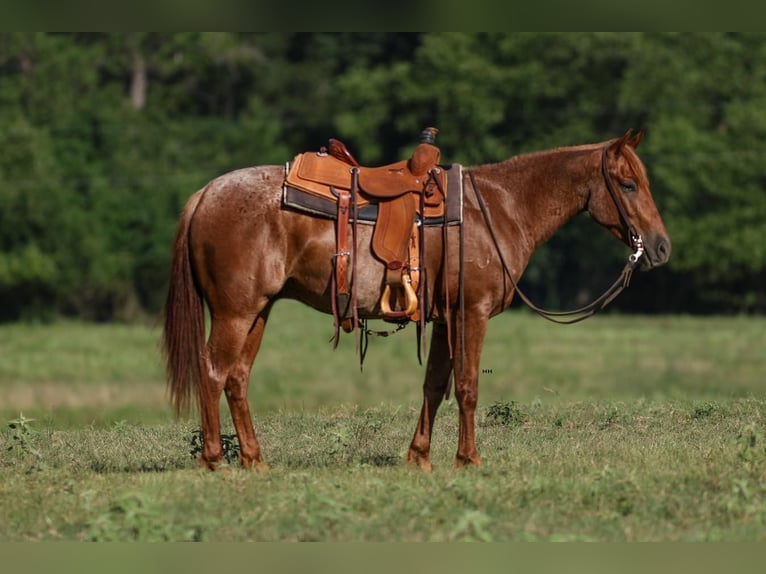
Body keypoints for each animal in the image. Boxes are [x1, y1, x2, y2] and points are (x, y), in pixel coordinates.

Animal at [162, 129, 672, 472]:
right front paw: (468, 459)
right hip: (235, 313)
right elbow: (467, 387)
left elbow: (435, 385)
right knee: (213, 372)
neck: (500, 209)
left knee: (237, 378)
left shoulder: (444, 318)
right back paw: (214, 460)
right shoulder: (471, 313)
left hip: (258, 312)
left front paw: (420, 457)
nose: (661, 246)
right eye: (628, 184)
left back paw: (254, 459)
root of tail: (205, 193)